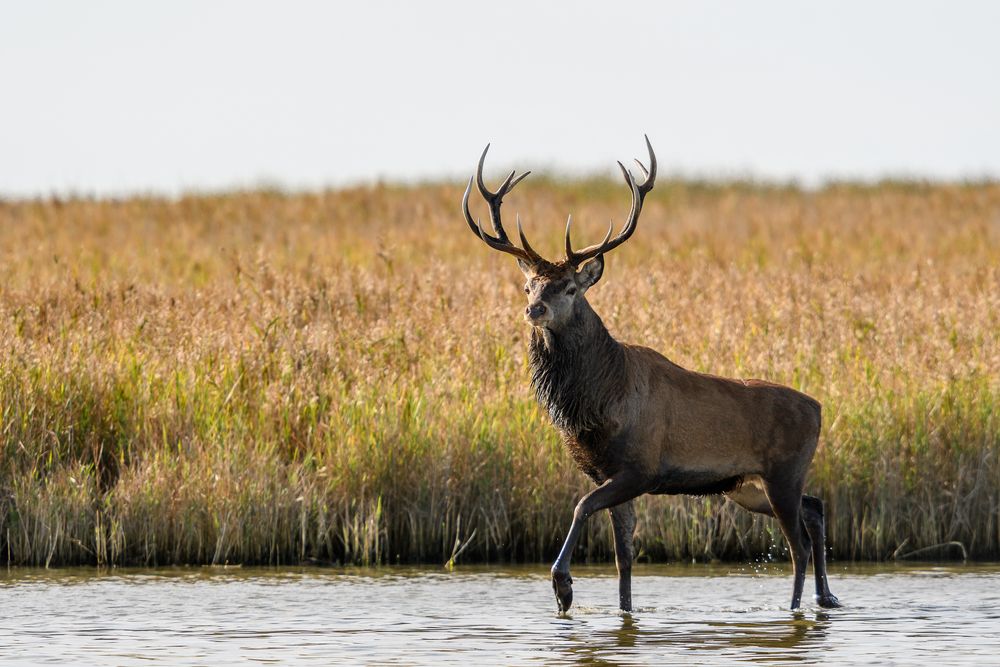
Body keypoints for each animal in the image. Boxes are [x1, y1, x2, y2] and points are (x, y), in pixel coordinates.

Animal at [464, 137, 840, 616]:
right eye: (528, 284)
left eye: (569, 286)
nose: (534, 309)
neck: (597, 402)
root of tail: (819, 407)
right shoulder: (607, 473)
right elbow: (623, 557)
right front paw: (623, 610)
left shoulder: (639, 468)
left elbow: (581, 508)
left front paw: (563, 587)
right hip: (746, 485)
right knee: (815, 508)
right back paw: (828, 596)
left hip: (784, 471)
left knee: (799, 544)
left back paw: (796, 607)